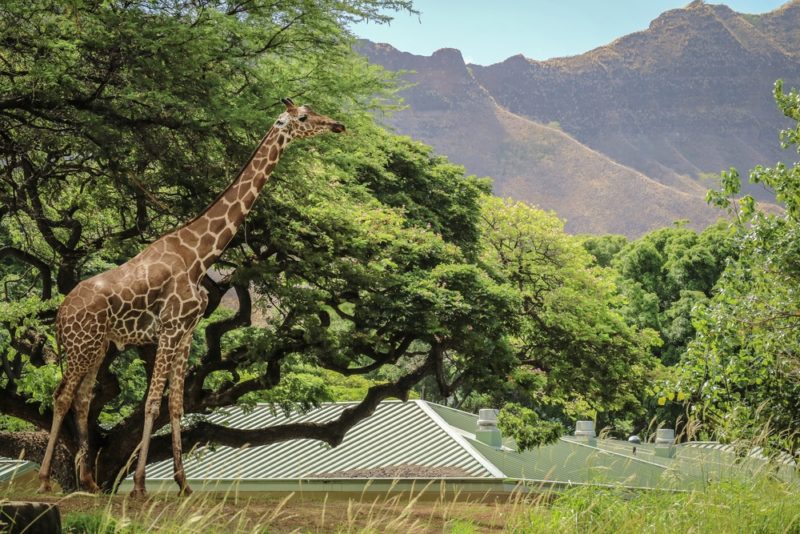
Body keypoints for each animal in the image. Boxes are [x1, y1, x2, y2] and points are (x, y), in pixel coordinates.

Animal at [37, 97, 346, 498]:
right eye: (304, 117)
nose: (338, 125)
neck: (199, 256)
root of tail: (60, 313)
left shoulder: (186, 333)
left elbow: (176, 406)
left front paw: (183, 484)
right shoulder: (169, 329)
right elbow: (153, 403)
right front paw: (139, 486)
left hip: (97, 348)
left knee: (82, 400)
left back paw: (88, 482)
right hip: (80, 346)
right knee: (61, 396)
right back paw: (46, 479)